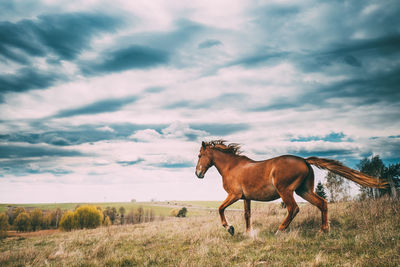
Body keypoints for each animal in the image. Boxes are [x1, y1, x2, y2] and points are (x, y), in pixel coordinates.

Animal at [195, 141, 390, 236]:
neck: (232, 166)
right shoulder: (246, 197)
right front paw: (248, 233)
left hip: (286, 191)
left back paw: (280, 230)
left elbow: (220, 209)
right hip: (304, 190)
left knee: (293, 208)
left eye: (199, 155)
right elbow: (247, 215)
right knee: (322, 203)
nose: (198, 173)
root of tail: (304, 160)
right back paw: (323, 230)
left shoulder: (234, 195)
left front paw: (230, 228)